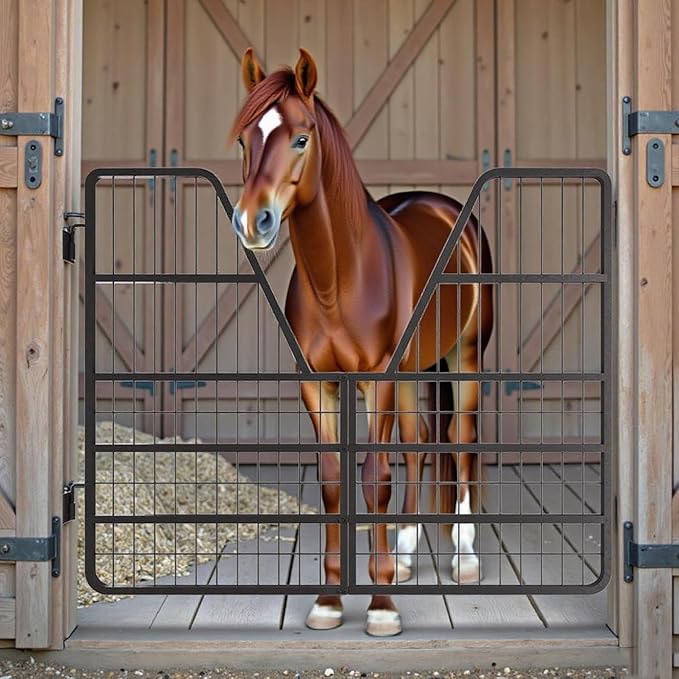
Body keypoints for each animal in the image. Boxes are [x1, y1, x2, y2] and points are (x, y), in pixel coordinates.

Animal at [229, 47, 494, 637]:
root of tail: (445, 208)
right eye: (244, 141)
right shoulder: (318, 386)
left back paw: (465, 559)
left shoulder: (378, 381)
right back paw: (408, 554)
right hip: (416, 370)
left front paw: (382, 606)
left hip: (464, 357)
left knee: (461, 437)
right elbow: (333, 481)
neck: (340, 279)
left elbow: (375, 478)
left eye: (301, 138)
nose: (253, 222)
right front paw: (329, 601)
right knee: (419, 442)